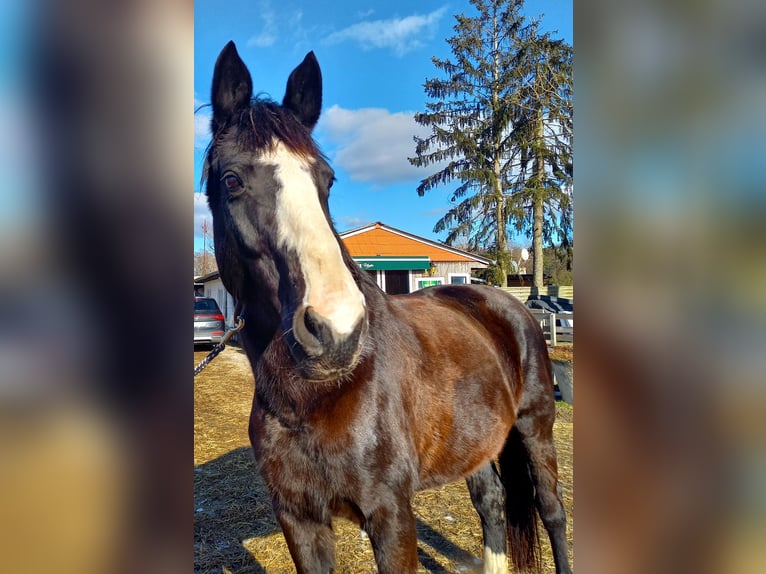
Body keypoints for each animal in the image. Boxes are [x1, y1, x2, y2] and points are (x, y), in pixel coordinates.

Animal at [205, 41, 572, 574]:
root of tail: (507, 304)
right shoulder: (298, 519)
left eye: (328, 180)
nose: (336, 330)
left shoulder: (390, 514)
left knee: (552, 512)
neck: (312, 399)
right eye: (232, 180)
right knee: (491, 504)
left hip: (535, 429)